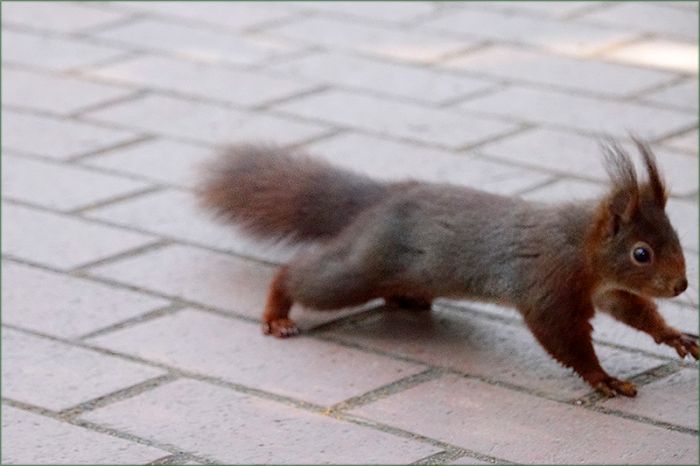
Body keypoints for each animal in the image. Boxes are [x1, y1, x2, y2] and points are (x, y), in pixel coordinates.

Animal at [198, 138, 698, 397]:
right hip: (361, 269)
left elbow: (633, 310)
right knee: (302, 275)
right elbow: (563, 338)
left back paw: (409, 301)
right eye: (641, 253)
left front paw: (674, 335)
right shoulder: (548, 286)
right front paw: (602, 377)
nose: (680, 285)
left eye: (675, 233)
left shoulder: (605, 289)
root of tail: (381, 200)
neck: (582, 248)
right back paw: (277, 312)